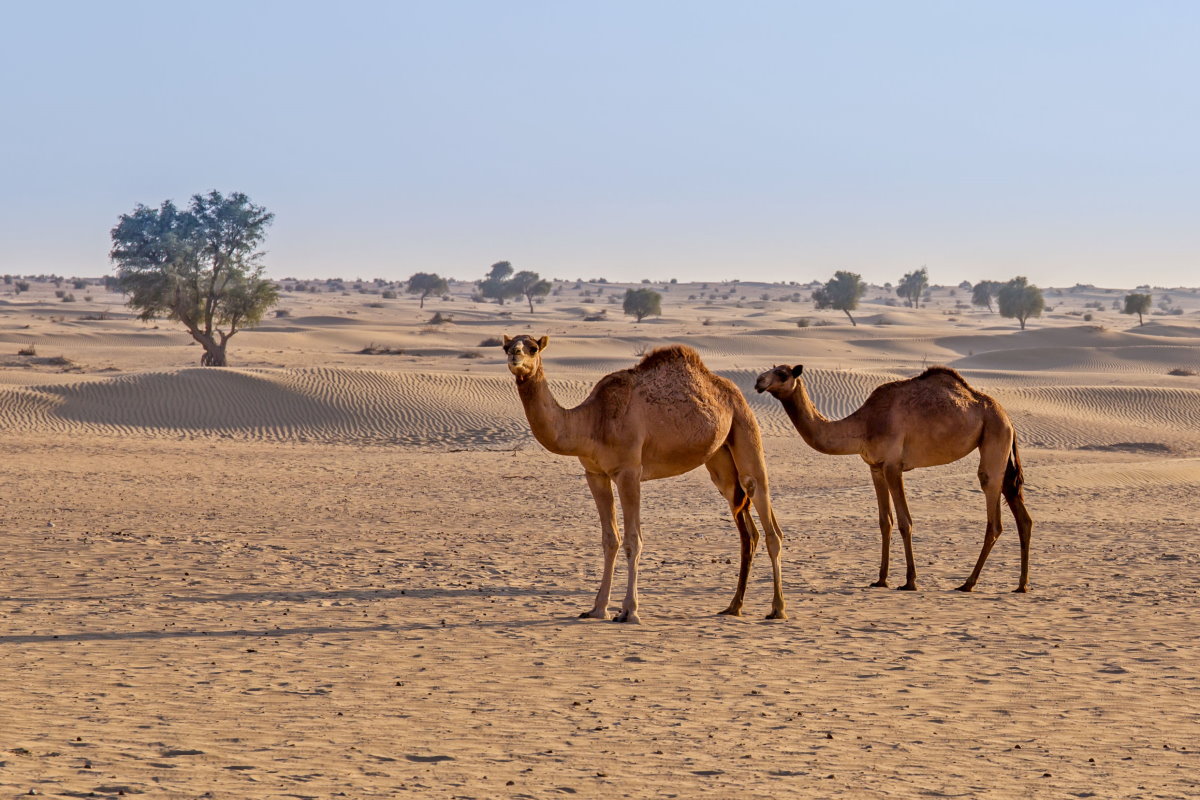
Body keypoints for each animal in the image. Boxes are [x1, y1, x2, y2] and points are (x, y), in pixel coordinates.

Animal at [504, 335, 792, 623]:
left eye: (533, 348)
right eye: (508, 346)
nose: (515, 356)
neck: (592, 421)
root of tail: (735, 392)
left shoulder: (629, 472)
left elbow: (633, 540)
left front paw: (629, 610)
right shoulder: (595, 474)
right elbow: (610, 539)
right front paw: (597, 608)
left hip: (746, 429)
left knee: (768, 519)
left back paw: (778, 608)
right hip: (721, 462)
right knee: (748, 530)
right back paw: (734, 606)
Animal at [758, 367, 1032, 592]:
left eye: (782, 373)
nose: (759, 381)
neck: (864, 424)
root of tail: (1008, 418)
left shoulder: (893, 466)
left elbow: (904, 522)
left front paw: (910, 581)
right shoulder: (875, 467)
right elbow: (885, 522)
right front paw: (881, 579)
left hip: (994, 435)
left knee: (993, 513)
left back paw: (968, 583)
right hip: (1000, 448)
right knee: (1021, 513)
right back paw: (1021, 585)